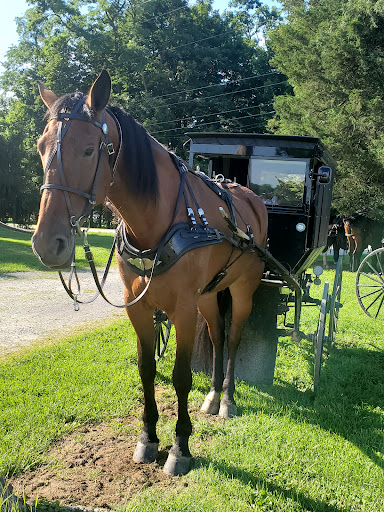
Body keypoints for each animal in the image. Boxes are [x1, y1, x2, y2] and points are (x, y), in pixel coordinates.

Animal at [31, 71, 268, 476]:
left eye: (89, 150)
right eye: (41, 148)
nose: (48, 243)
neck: (157, 221)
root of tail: (252, 199)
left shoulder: (183, 310)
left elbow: (180, 377)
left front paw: (180, 446)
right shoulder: (138, 308)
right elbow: (146, 371)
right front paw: (148, 438)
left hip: (242, 290)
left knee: (234, 338)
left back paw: (227, 400)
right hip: (209, 294)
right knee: (218, 337)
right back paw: (213, 395)